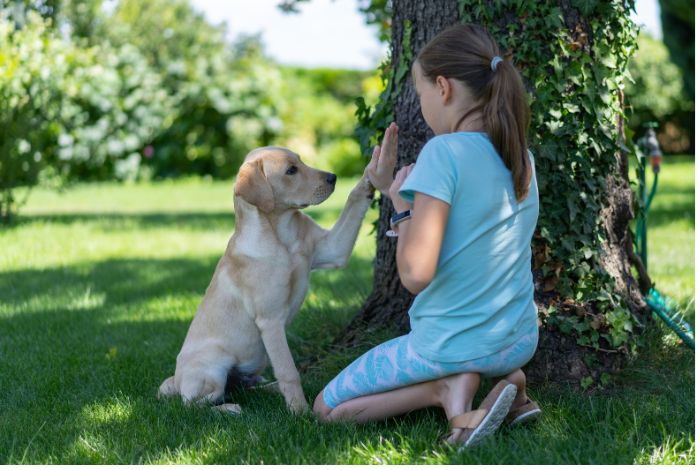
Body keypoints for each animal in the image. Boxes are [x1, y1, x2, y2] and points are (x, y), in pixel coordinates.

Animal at [159, 146, 378, 412]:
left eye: (301, 161)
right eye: (291, 170)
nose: (333, 177)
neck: (281, 237)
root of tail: (176, 380)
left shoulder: (333, 249)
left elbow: (353, 202)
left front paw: (372, 172)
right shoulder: (271, 321)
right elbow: (288, 371)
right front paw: (301, 412)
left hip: (252, 368)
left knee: (247, 387)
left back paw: (269, 389)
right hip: (214, 366)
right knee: (193, 403)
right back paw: (230, 408)